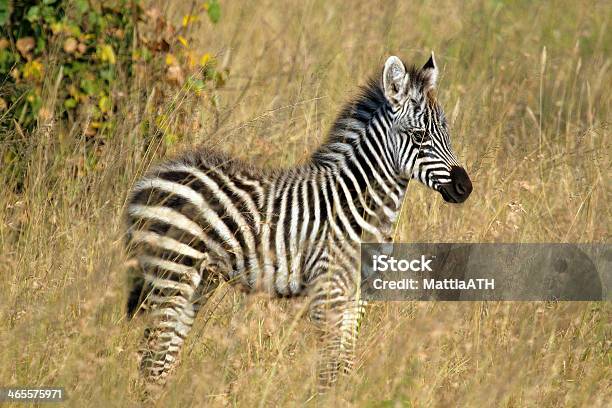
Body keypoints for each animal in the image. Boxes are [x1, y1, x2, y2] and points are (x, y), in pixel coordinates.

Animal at [124, 53, 474, 396]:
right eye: (419, 136)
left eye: (447, 134)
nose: (465, 188)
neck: (360, 204)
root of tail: (152, 176)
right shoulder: (328, 292)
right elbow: (329, 371)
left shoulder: (356, 296)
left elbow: (344, 367)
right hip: (172, 273)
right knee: (152, 357)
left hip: (197, 281)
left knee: (162, 358)